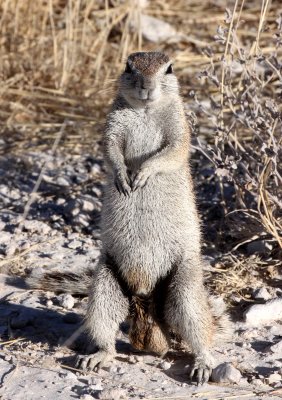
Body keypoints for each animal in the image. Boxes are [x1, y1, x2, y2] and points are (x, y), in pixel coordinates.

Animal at [26, 51, 230, 382]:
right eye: (128, 66)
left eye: (169, 68)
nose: (146, 86)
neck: (146, 110)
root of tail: (145, 300)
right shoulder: (112, 127)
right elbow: (111, 151)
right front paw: (123, 176)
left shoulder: (179, 129)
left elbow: (171, 151)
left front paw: (144, 172)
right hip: (104, 285)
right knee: (105, 328)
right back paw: (99, 357)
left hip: (185, 288)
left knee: (201, 332)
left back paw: (203, 364)